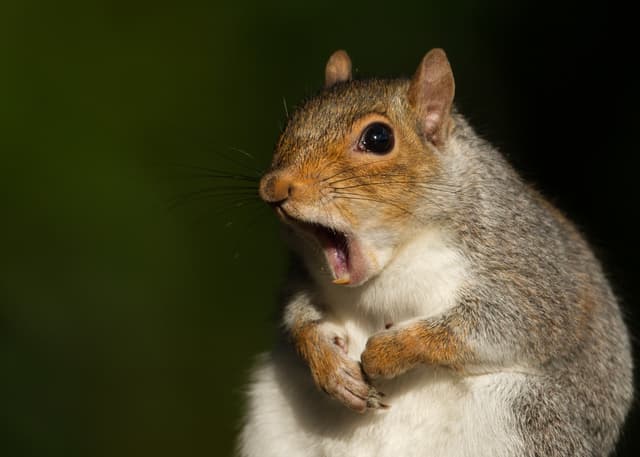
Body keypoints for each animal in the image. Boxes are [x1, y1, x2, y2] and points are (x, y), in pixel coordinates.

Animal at [237, 49, 633, 457]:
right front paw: (328, 363)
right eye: (290, 122)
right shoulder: (303, 274)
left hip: (531, 420)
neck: (394, 260)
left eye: (378, 138)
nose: (273, 187)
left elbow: (497, 326)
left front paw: (388, 351)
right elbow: (298, 313)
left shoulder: (529, 271)